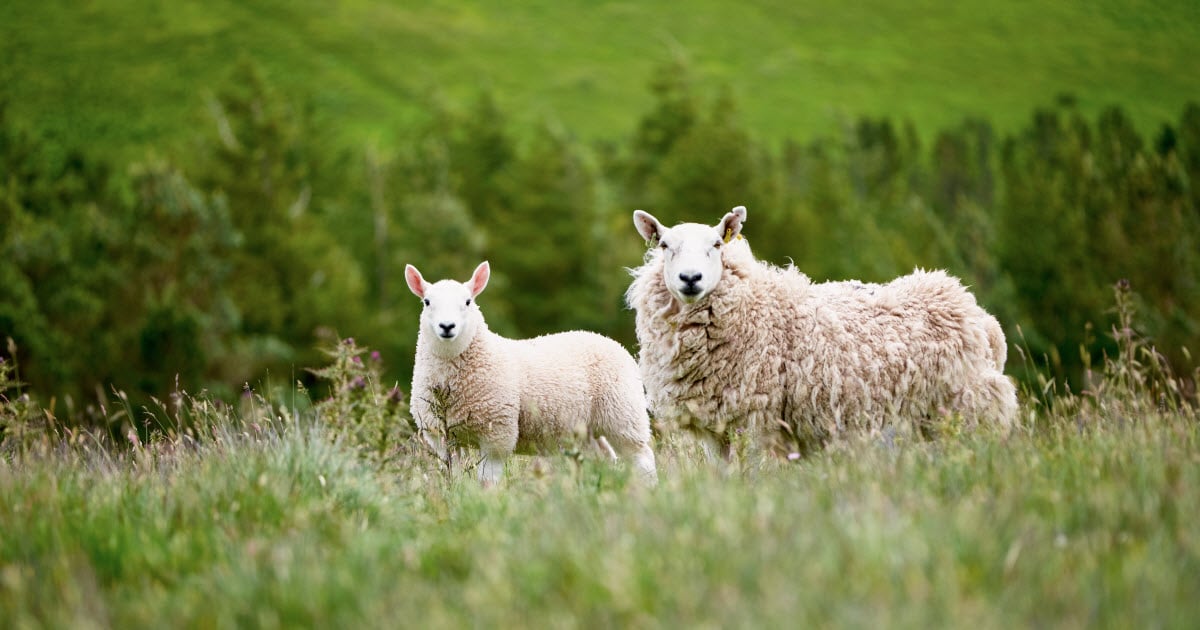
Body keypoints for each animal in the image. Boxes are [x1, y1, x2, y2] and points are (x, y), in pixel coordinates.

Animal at [405, 261, 658, 485]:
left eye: (467, 302)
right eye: (427, 302)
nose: (447, 327)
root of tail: (610, 341)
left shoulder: (497, 433)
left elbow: (488, 481)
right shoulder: (440, 436)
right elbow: (452, 476)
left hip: (623, 413)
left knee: (642, 457)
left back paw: (647, 489)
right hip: (584, 429)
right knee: (602, 458)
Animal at [625, 205, 1018, 456]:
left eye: (717, 245)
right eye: (664, 245)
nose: (690, 278)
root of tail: (981, 317)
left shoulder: (757, 422)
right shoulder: (716, 430)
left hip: (966, 410)